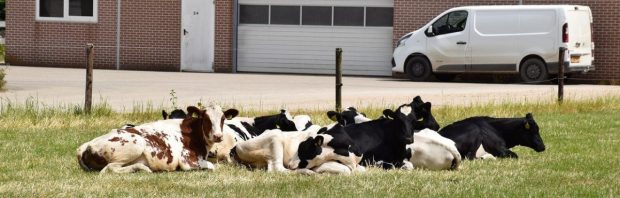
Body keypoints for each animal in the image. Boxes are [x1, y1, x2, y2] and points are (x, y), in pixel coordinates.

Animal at [75, 105, 240, 173]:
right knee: (110, 168)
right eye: (205, 119)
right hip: (136, 144)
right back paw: (142, 168)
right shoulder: (187, 161)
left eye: (223, 119)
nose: (218, 136)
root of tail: (86, 145)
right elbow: (214, 166)